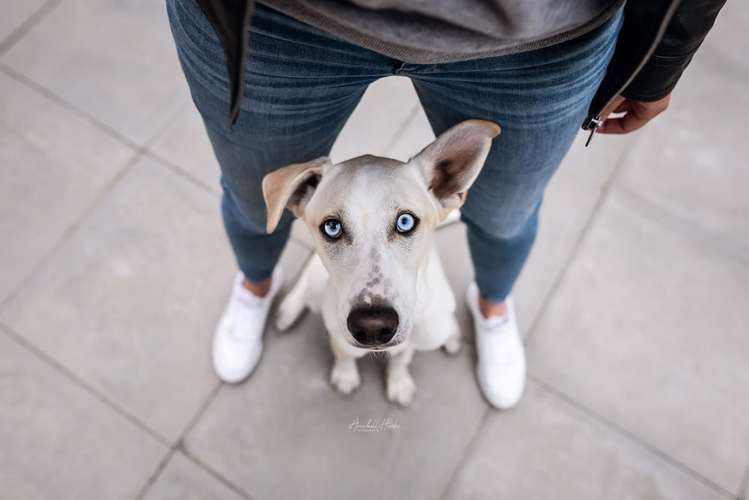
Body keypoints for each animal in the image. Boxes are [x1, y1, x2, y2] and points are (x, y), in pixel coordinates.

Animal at [262, 119, 502, 404]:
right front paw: (345, 376)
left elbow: (401, 359)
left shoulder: (410, 338)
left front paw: (398, 383)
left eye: (405, 222)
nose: (373, 326)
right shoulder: (338, 333)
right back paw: (289, 309)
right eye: (332, 227)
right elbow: (343, 353)